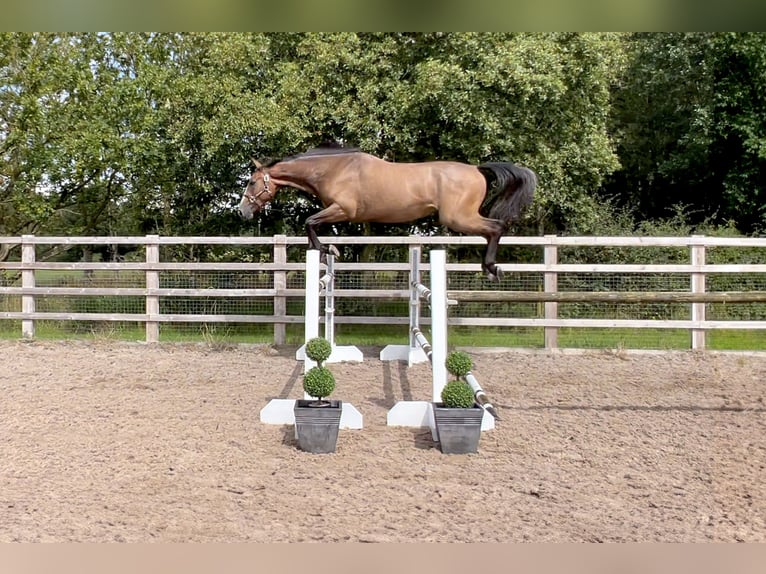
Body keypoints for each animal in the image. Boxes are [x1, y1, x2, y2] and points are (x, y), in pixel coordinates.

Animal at [237, 145, 536, 282]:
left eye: (251, 182)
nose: (242, 211)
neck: (333, 169)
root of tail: (476, 169)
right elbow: (309, 224)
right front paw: (326, 251)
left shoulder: (343, 210)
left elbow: (308, 221)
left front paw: (326, 250)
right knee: (494, 229)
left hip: (458, 218)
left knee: (496, 228)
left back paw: (491, 269)